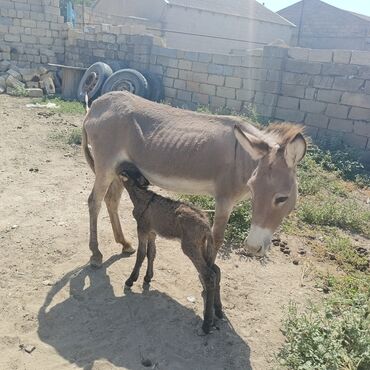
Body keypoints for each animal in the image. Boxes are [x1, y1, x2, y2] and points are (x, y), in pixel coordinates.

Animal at [119, 163, 223, 334]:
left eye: (126, 171)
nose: (118, 169)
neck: (142, 196)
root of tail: (206, 224)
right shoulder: (152, 232)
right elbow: (151, 253)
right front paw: (147, 278)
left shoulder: (142, 229)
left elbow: (141, 254)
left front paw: (131, 280)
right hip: (201, 245)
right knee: (216, 270)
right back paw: (218, 310)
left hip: (190, 247)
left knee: (209, 276)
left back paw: (207, 324)